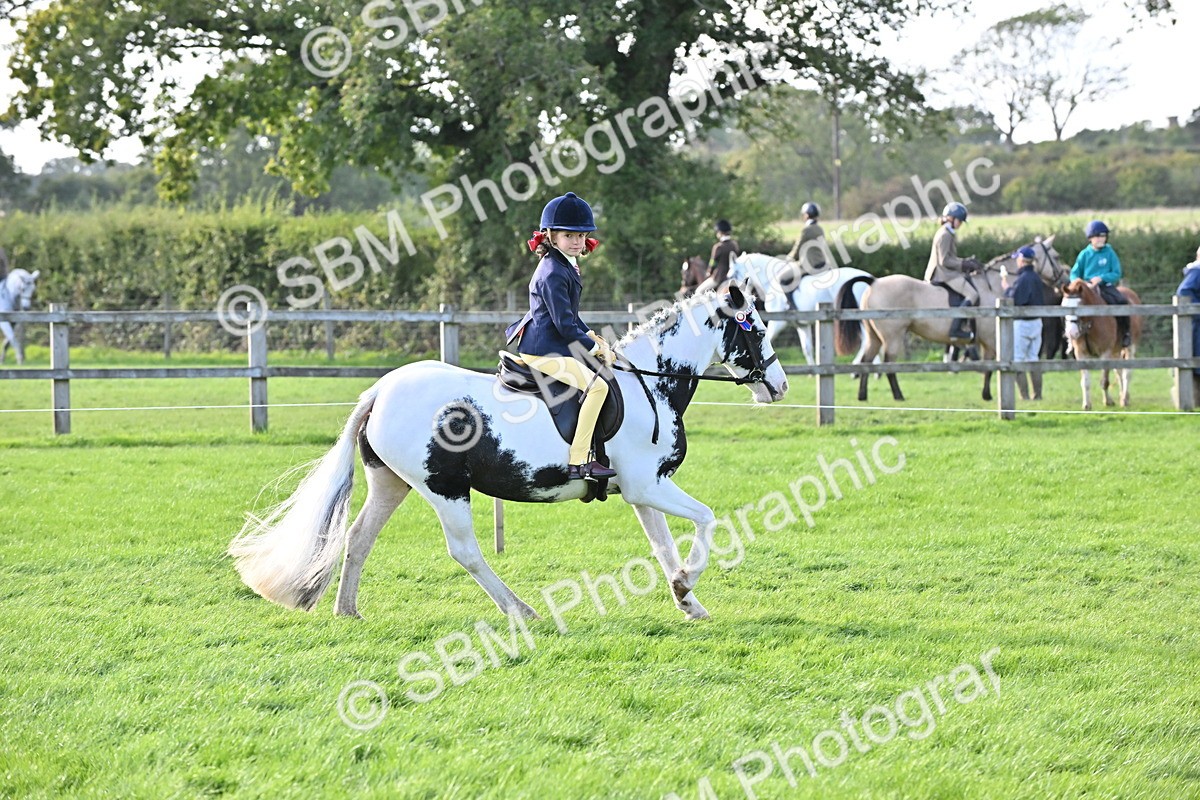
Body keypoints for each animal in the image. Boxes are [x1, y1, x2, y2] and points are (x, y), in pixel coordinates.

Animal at [228, 284, 788, 623]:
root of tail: (380, 390)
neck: (650, 382)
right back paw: (521, 611)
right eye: (758, 329)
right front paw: (687, 584)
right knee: (465, 552)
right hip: (445, 489)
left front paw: (687, 600)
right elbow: (706, 519)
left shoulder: (640, 491)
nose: (779, 386)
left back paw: (348, 611)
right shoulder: (647, 485)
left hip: (392, 482)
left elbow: (664, 545)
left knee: (358, 537)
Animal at [729, 252, 875, 364]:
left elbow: (767, 337)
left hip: (860, 318)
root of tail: (870, 280)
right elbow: (807, 348)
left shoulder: (778, 322)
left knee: (867, 340)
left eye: (731, 275)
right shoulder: (802, 325)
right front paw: (812, 370)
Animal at [853, 238, 1065, 402]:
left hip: (874, 337)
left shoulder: (986, 341)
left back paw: (862, 396)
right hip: (892, 337)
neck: (992, 286)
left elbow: (987, 366)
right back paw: (898, 396)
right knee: (888, 364)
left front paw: (988, 394)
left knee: (867, 360)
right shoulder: (991, 339)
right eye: (1056, 257)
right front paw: (989, 394)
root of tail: (874, 284)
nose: (1063, 282)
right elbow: (991, 365)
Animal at [1061, 279, 1142, 409]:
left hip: (1130, 348)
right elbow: (1085, 381)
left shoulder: (1105, 353)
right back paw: (1123, 396)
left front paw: (1108, 401)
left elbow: (1104, 381)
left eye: (1079, 306)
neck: (1090, 322)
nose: (1071, 333)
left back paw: (1124, 399)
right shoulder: (1081, 354)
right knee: (1119, 372)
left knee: (1127, 373)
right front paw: (1086, 404)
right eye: (1064, 306)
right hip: (1115, 352)